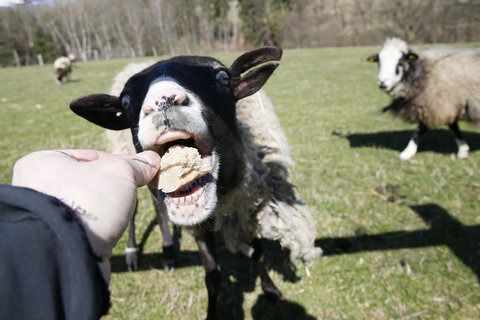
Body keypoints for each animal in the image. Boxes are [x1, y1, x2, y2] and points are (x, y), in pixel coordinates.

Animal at [68, 46, 322, 318]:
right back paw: (146, 252)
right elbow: (212, 277)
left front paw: (271, 290)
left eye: (223, 78)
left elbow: (257, 251)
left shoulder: (248, 204)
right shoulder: (200, 226)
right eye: (125, 102)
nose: (161, 101)